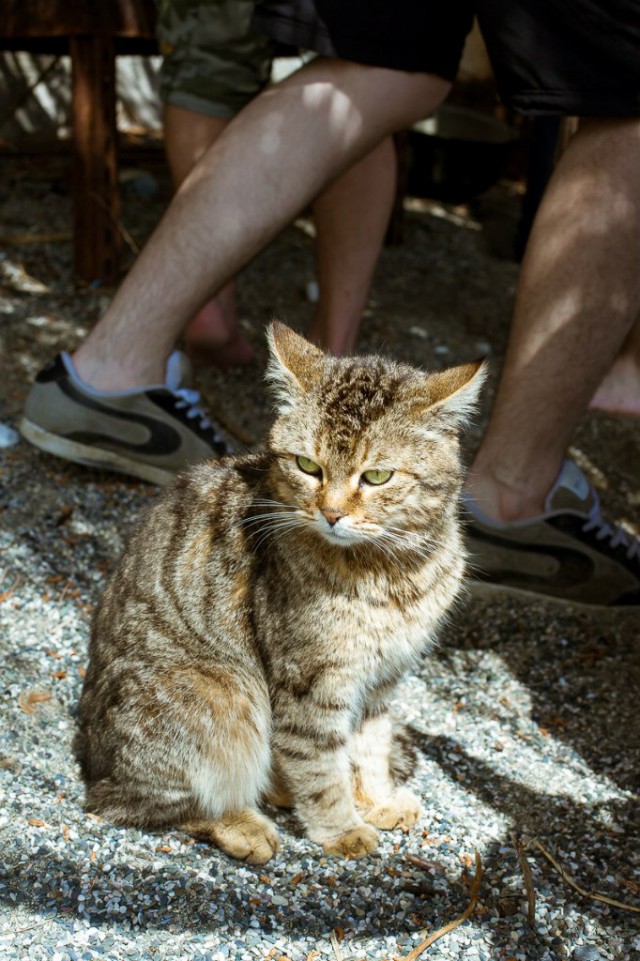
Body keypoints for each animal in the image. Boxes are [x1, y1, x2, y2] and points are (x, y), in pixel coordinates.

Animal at [74, 320, 484, 864]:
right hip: (221, 694)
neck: (393, 570)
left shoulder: (382, 678)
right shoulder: (311, 681)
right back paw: (244, 824)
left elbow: (370, 746)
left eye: (376, 476)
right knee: (147, 804)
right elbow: (319, 764)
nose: (332, 512)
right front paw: (342, 827)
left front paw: (376, 798)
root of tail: (92, 762)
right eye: (307, 466)